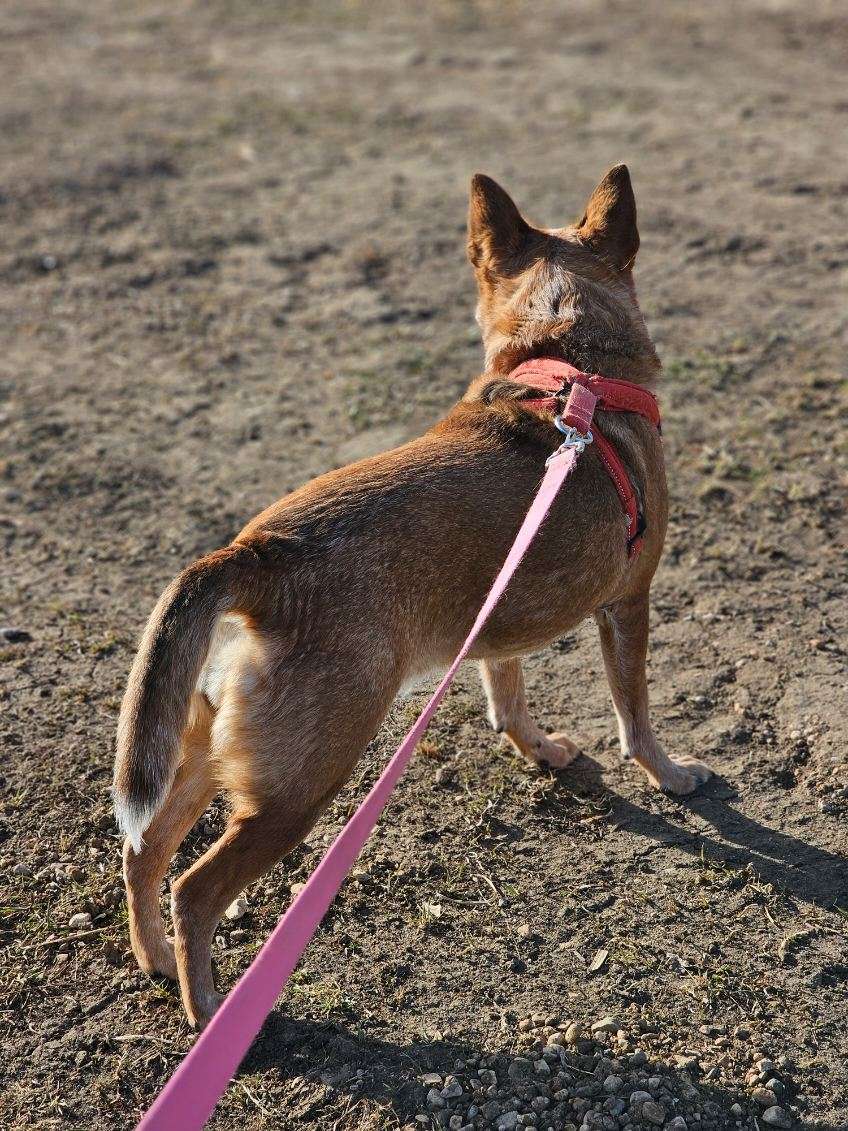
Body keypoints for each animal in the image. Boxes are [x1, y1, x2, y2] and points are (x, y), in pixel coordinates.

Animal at [111, 165, 710, 1026]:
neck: (565, 368)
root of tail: (255, 557)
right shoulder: (630, 604)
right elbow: (636, 714)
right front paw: (670, 773)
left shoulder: (497, 623)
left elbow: (508, 696)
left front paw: (541, 750)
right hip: (301, 783)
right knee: (194, 889)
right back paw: (212, 1007)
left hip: (202, 751)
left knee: (143, 850)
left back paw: (155, 958)